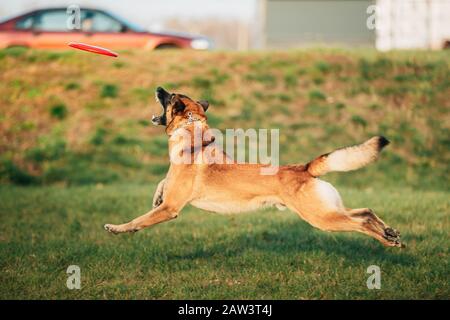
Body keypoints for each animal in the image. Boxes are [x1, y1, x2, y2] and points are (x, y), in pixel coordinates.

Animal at [104, 87, 404, 248]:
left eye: (169, 96)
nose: (158, 88)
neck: (191, 137)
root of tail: (305, 167)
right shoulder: (169, 195)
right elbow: (162, 184)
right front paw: (156, 193)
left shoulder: (171, 209)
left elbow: (139, 219)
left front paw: (118, 228)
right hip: (329, 210)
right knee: (365, 211)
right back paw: (389, 231)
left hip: (322, 218)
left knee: (360, 221)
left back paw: (386, 239)